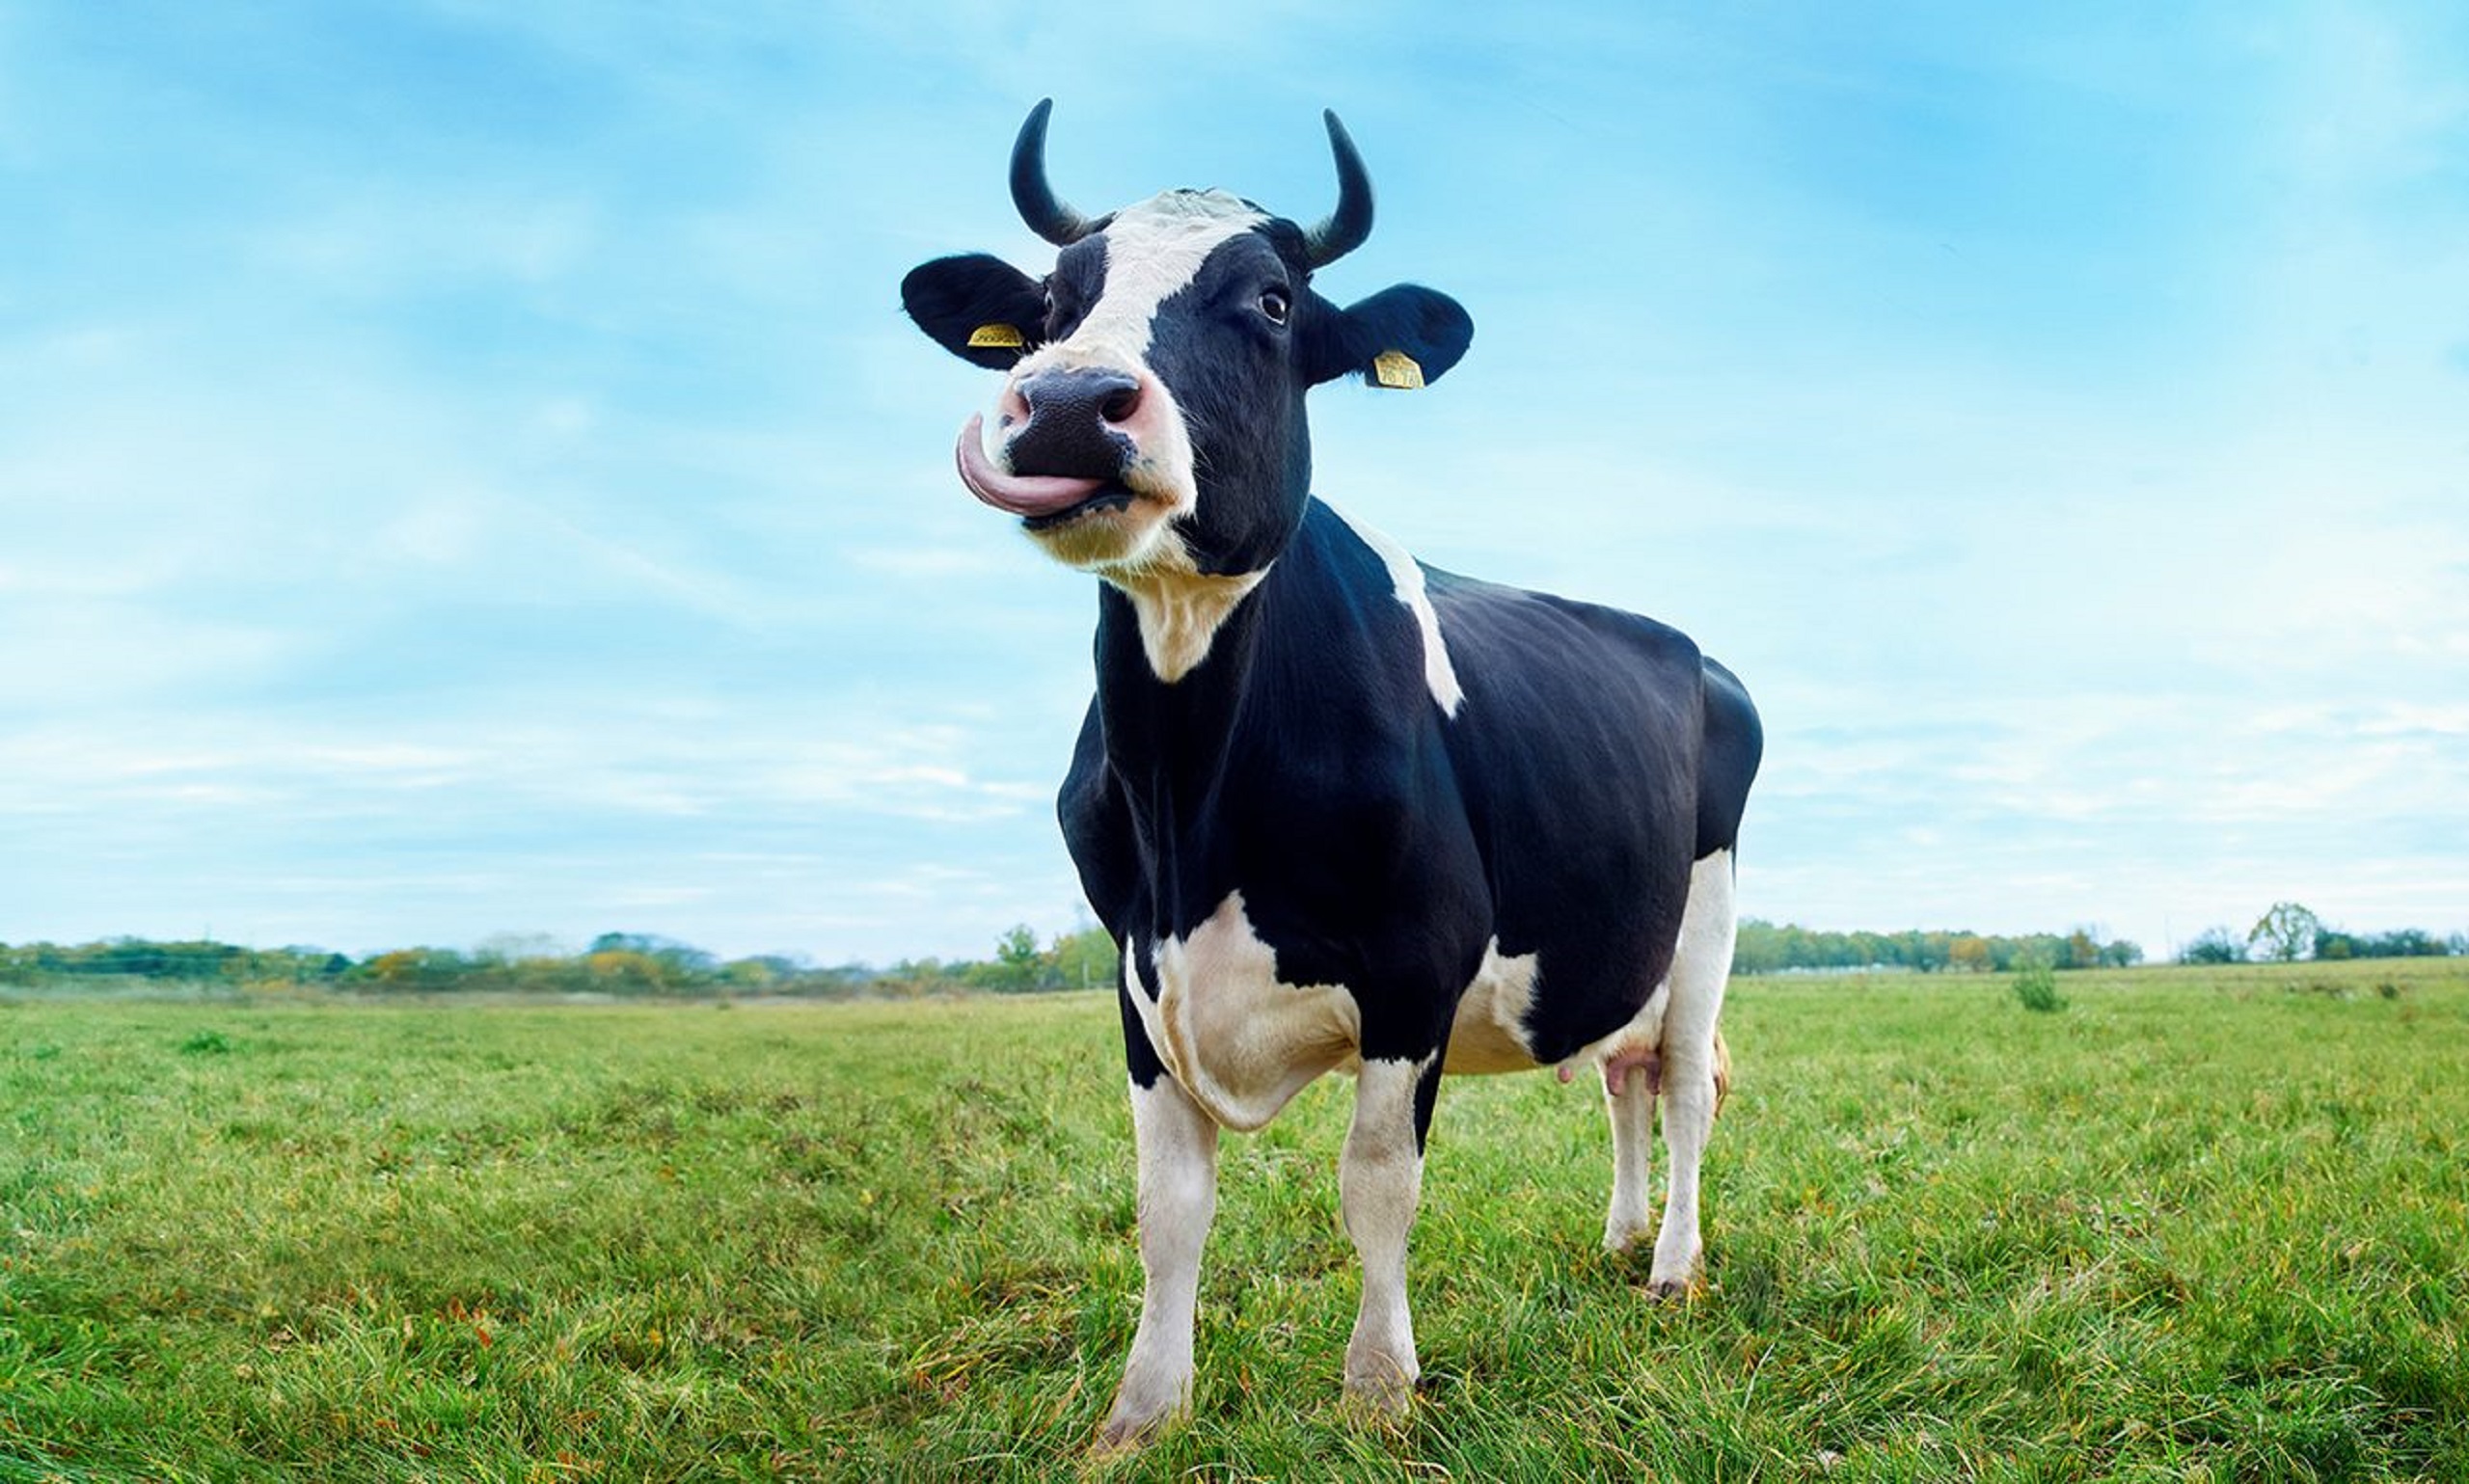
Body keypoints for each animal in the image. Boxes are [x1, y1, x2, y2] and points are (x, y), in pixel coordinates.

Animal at [900, 101, 1762, 1448]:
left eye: (1268, 302)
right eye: (1049, 304)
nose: (1067, 402)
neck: (1190, 802)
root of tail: (1693, 650)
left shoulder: (1415, 966)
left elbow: (1375, 1185)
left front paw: (1377, 1389)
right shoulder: (1136, 972)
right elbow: (1168, 1205)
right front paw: (1141, 1414)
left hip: (1707, 916)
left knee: (1680, 1085)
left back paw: (1672, 1267)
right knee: (1621, 1077)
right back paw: (1622, 1242)